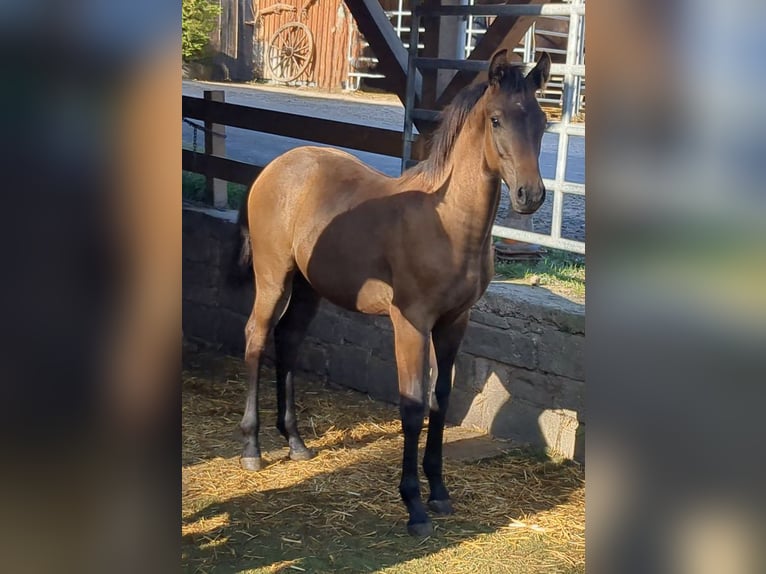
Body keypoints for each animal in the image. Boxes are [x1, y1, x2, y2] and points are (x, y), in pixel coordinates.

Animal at [236, 50, 552, 540]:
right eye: (497, 119)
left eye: (542, 122)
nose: (530, 195)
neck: (448, 223)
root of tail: (275, 168)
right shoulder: (411, 323)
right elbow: (412, 406)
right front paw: (414, 505)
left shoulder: (454, 323)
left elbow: (441, 401)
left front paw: (439, 491)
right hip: (273, 278)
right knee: (255, 338)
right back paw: (252, 447)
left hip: (308, 287)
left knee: (287, 341)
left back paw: (296, 442)